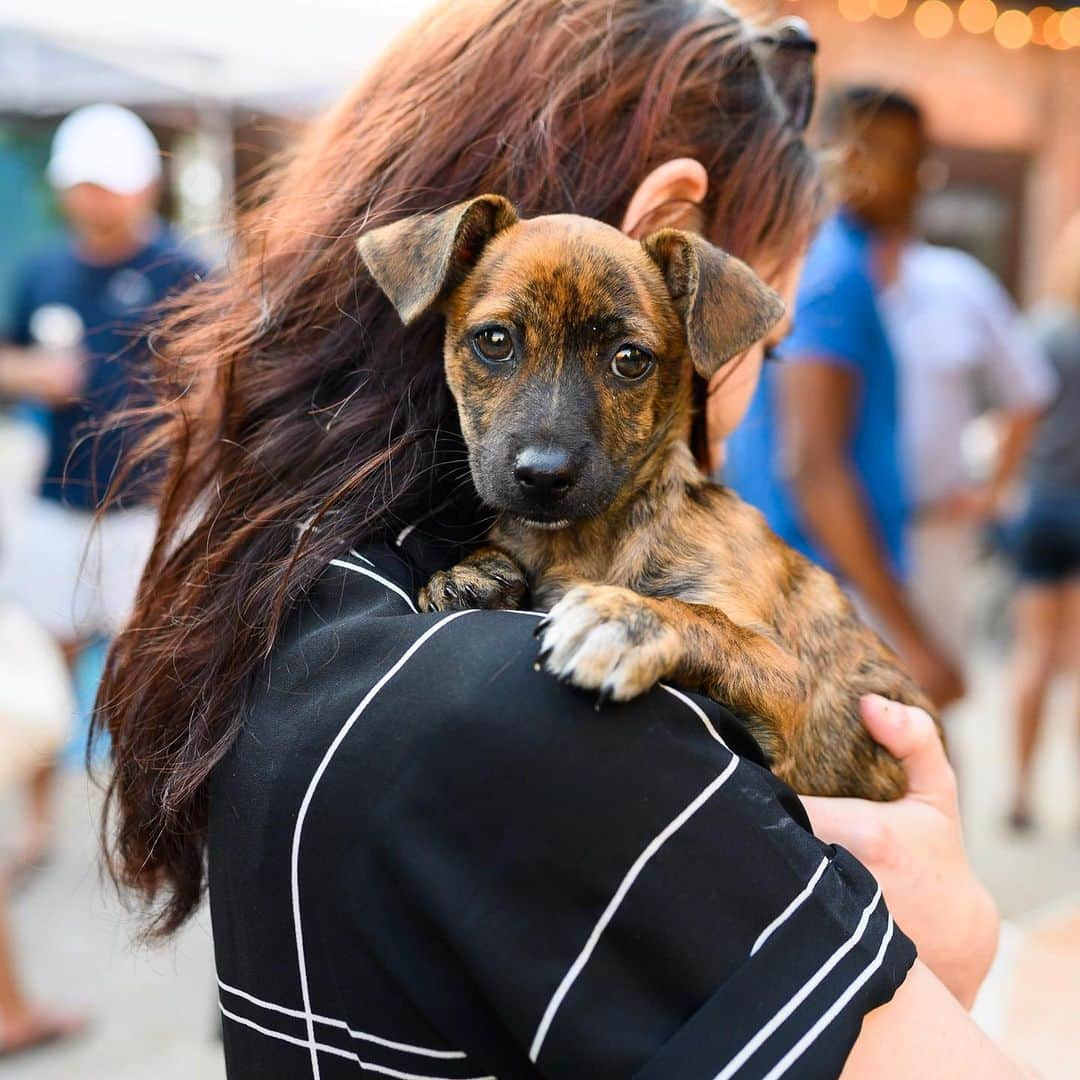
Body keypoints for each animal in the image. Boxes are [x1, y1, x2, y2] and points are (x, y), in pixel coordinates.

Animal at [360, 196, 937, 803]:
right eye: (494, 341)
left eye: (630, 359)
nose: (543, 476)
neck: (583, 543)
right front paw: (467, 574)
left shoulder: (785, 678)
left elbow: (706, 619)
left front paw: (627, 620)